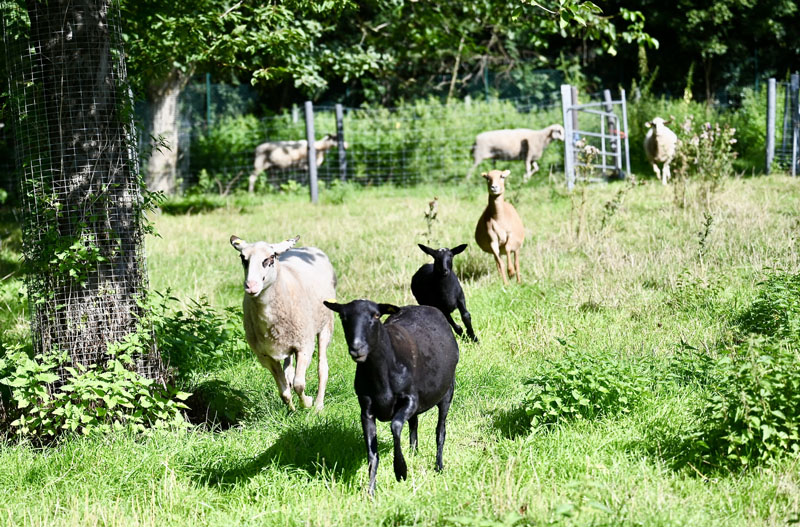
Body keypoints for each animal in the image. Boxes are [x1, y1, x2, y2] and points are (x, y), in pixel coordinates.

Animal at [230, 235, 336, 412]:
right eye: (243, 258)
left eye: (270, 258)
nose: (251, 286)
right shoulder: (266, 356)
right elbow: (284, 391)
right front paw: (291, 409)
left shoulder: (304, 346)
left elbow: (300, 384)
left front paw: (307, 403)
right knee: (289, 370)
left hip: (326, 324)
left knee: (322, 367)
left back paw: (319, 405)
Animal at [318, 300, 456, 498]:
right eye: (343, 317)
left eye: (376, 315)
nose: (357, 348)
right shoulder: (366, 410)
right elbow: (372, 454)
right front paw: (371, 491)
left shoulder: (410, 399)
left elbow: (395, 426)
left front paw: (400, 470)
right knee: (414, 424)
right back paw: (413, 453)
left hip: (447, 392)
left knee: (440, 431)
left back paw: (439, 466)